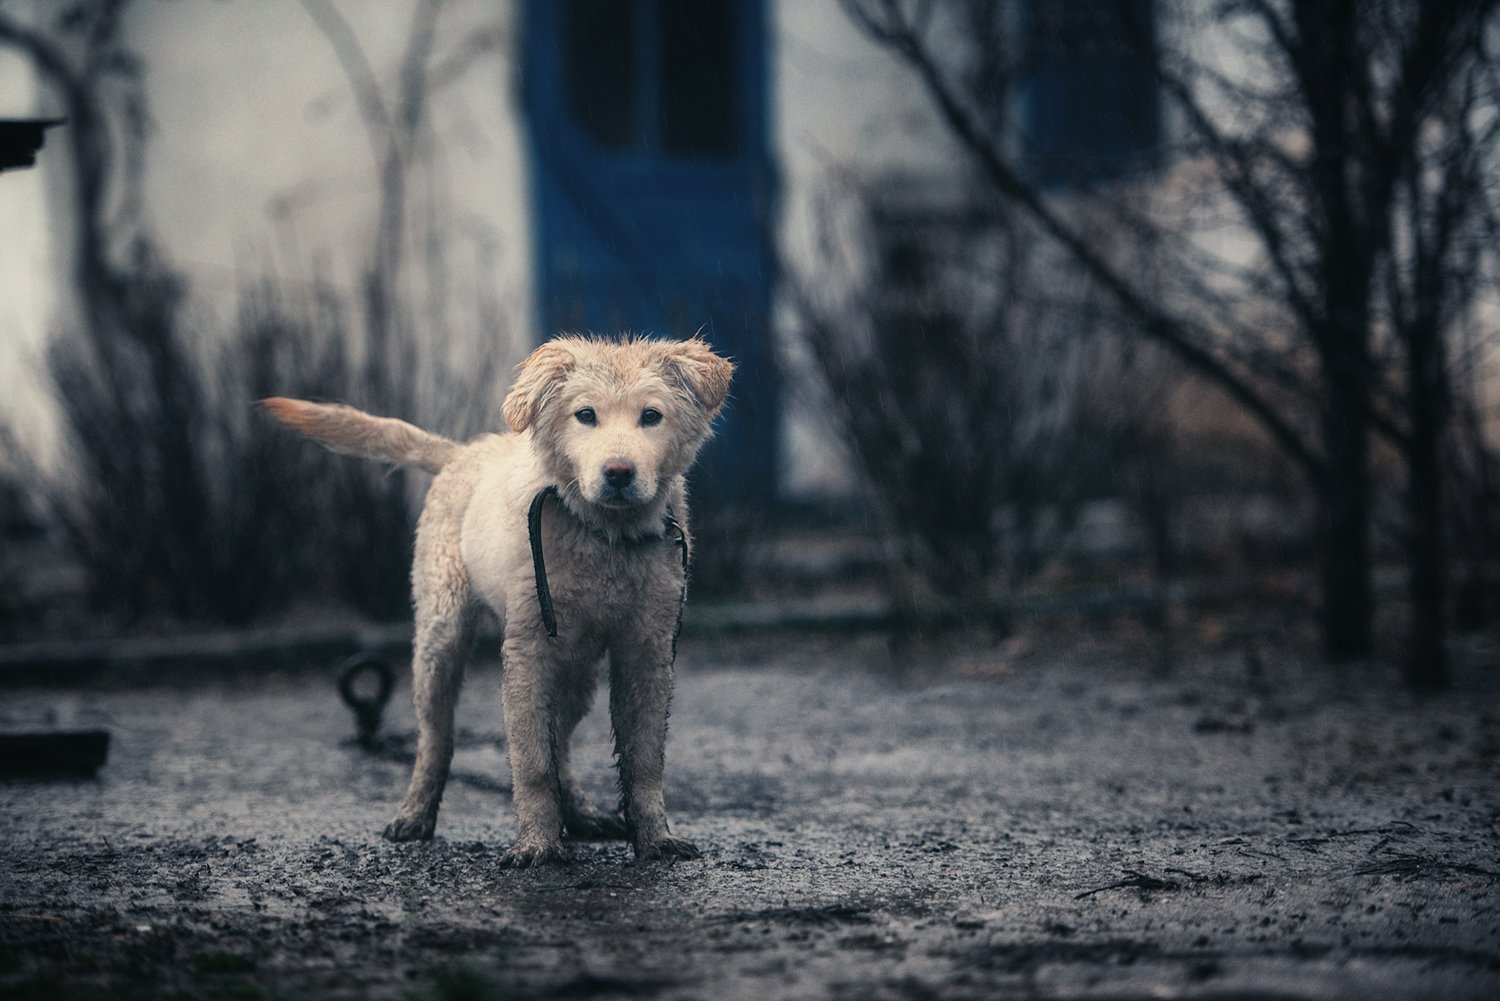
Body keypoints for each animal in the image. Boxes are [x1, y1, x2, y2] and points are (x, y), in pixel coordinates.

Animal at [264, 336, 732, 870]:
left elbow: (644, 759)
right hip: (441, 638)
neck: (605, 537)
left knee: (560, 738)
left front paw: (655, 839)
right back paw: (415, 814)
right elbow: (530, 761)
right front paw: (537, 844)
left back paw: (580, 813)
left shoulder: (649, 650)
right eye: (585, 415)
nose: (618, 473)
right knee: (437, 738)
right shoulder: (527, 651)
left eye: (651, 416)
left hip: (577, 663)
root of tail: (465, 452)